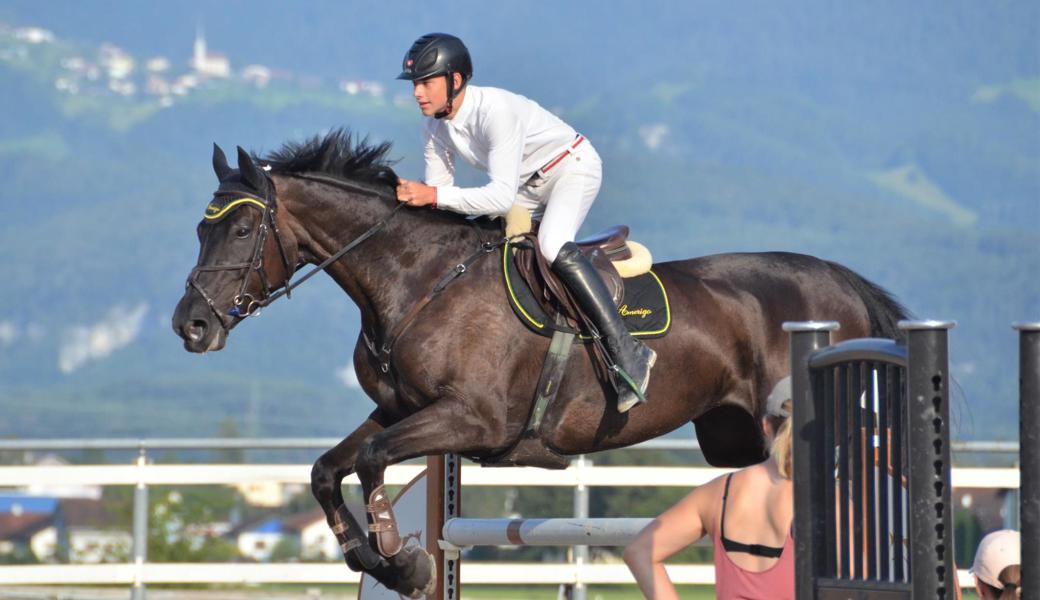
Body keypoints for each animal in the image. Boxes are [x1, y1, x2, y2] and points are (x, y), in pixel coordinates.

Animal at [170, 129, 902, 594]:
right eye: (201, 228)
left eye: (242, 229)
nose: (191, 326)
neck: (416, 279)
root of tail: (840, 280)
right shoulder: (400, 409)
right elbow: (327, 470)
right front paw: (374, 560)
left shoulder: (472, 419)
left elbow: (373, 462)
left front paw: (403, 561)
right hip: (736, 437)